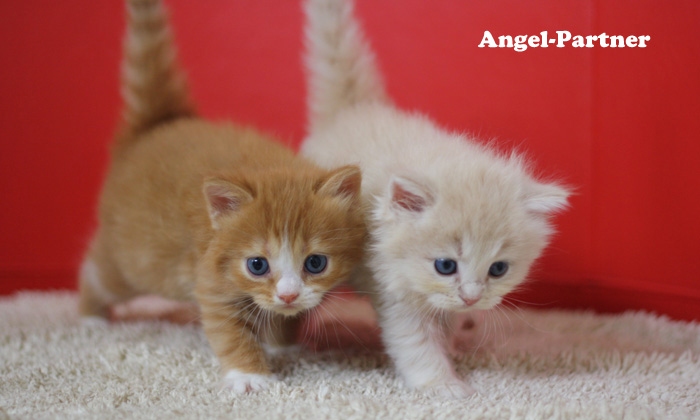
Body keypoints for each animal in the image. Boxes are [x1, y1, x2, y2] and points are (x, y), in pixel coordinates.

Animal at [79, 0, 366, 394]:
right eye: (257, 265)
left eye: (315, 263)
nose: (289, 295)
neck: (267, 166)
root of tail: (156, 127)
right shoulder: (210, 279)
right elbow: (230, 332)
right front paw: (249, 374)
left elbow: (283, 317)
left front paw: (282, 341)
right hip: (131, 261)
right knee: (98, 273)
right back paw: (89, 316)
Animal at [300, 0, 568, 398]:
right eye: (445, 265)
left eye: (498, 269)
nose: (472, 298)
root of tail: (353, 110)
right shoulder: (393, 286)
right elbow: (417, 343)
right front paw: (444, 384)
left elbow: (446, 320)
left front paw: (453, 343)